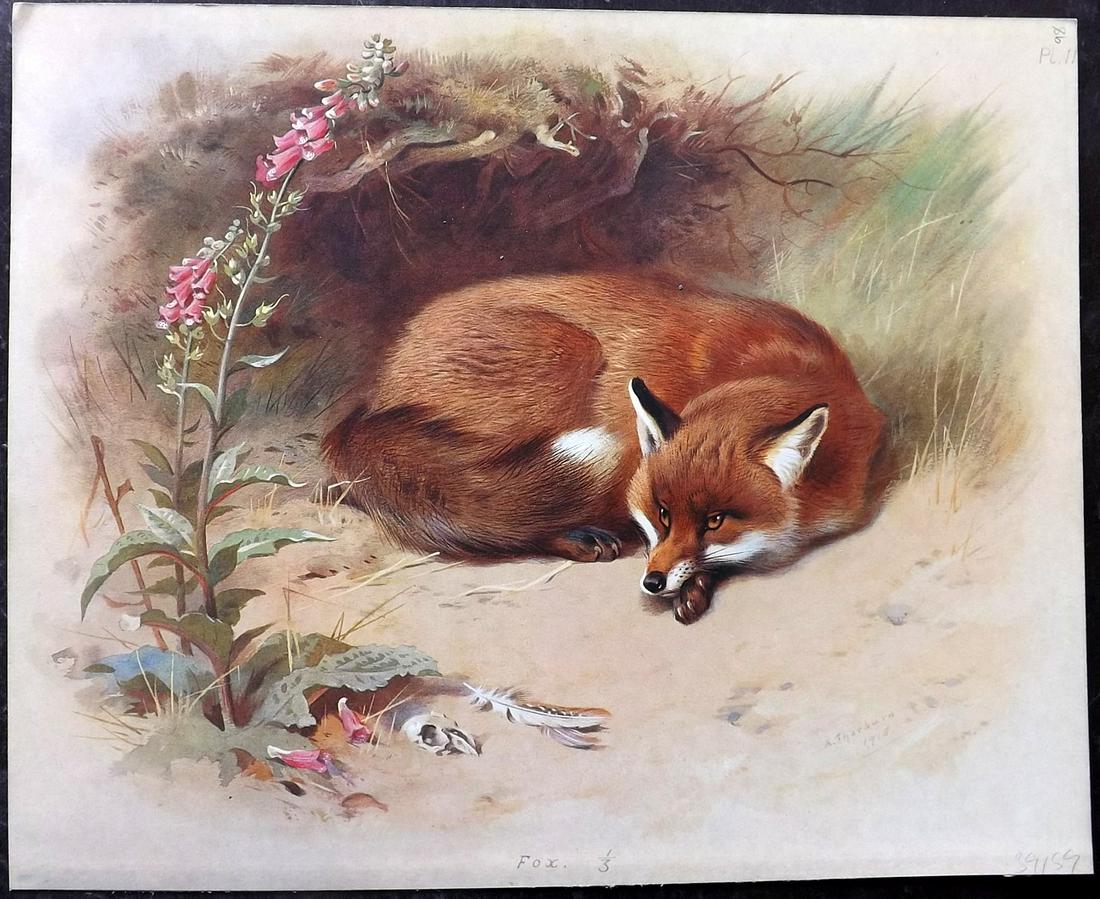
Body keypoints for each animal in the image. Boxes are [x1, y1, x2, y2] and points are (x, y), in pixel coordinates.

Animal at [323, 271, 890, 624]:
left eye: (715, 521)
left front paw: (697, 584)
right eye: (661, 513)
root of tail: (372, 398)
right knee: (500, 515)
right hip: (566, 356)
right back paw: (578, 538)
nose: (653, 583)